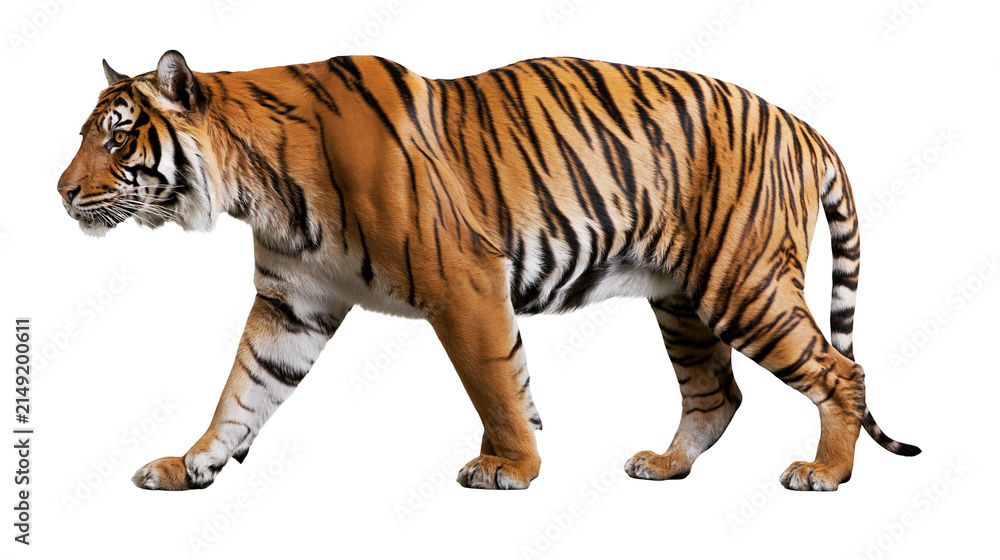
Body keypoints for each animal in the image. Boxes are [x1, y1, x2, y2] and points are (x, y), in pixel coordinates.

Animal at [57, 50, 920, 492]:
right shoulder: (291, 303)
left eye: (116, 135)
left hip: (743, 283)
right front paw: (192, 462)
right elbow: (244, 388)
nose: (61, 191)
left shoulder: (464, 280)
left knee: (840, 371)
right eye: (86, 133)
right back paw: (666, 465)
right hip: (682, 298)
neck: (254, 185)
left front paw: (511, 465)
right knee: (717, 392)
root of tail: (802, 123)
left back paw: (826, 472)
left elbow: (495, 380)